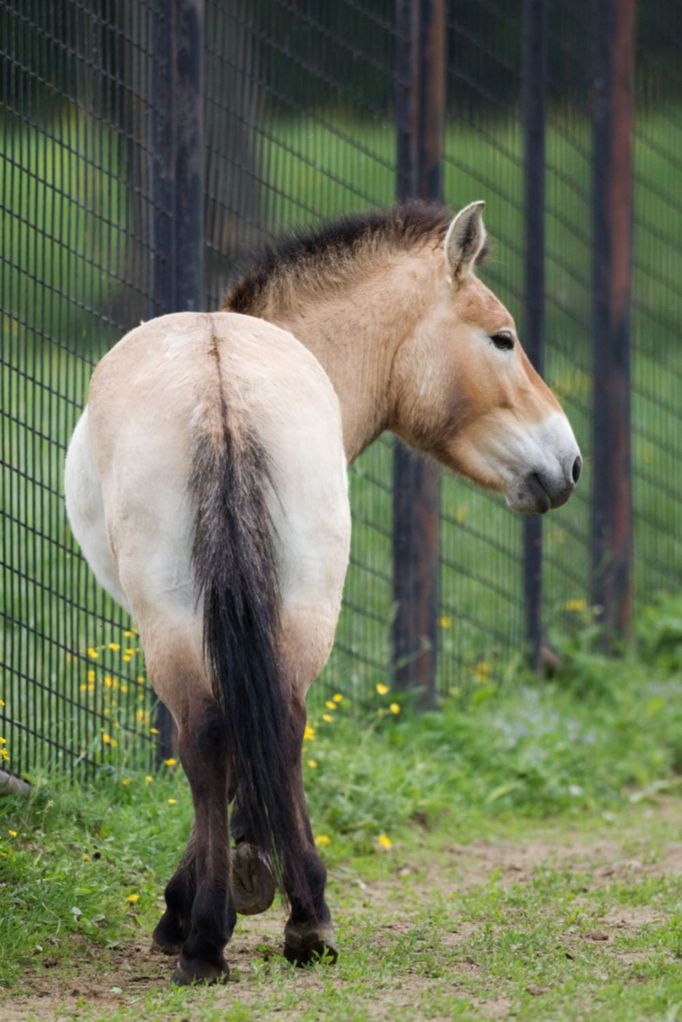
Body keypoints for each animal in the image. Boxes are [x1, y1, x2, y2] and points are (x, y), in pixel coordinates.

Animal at [63, 199, 580, 981]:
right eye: (503, 337)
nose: (568, 464)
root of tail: (220, 385)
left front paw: (216, 891)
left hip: (176, 618)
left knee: (209, 736)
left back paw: (206, 937)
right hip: (295, 605)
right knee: (282, 722)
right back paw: (305, 920)